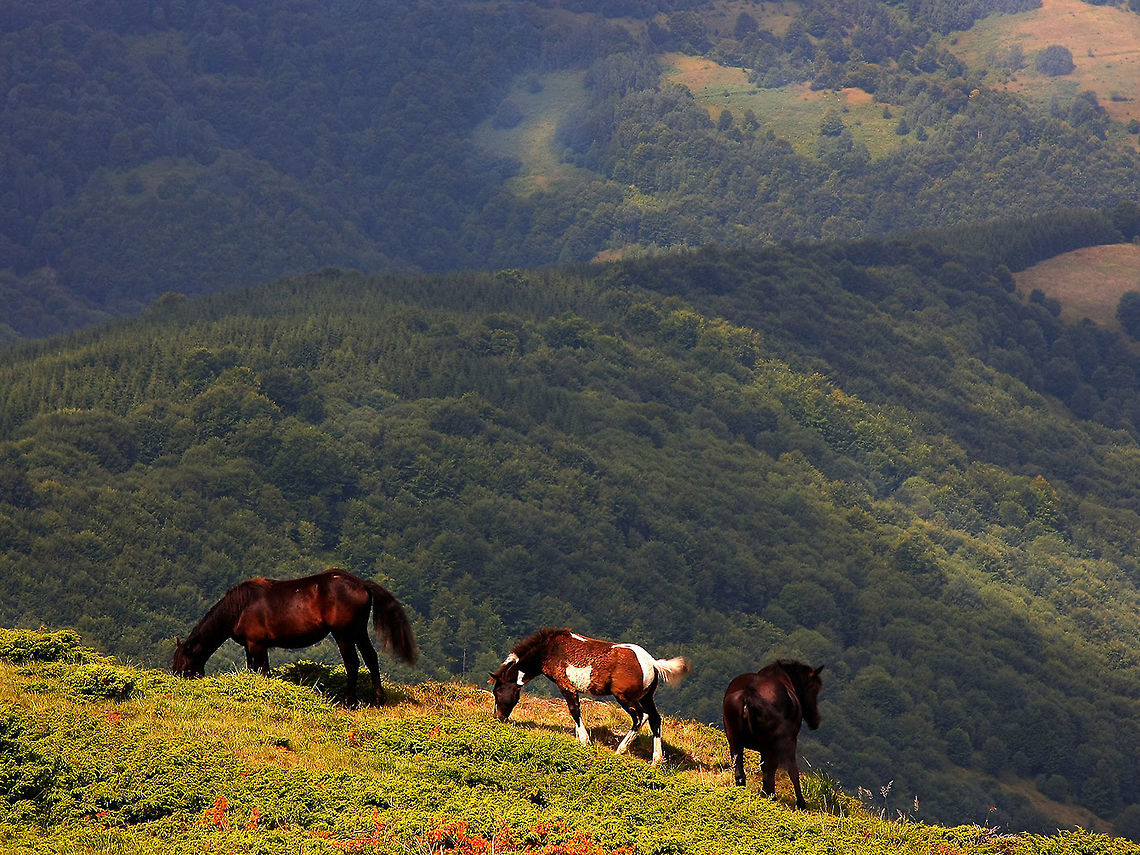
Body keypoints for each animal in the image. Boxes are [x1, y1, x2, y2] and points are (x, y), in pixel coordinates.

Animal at [171, 568, 417, 705]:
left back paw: (349, 701)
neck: (240, 607)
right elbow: (253, 670)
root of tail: (361, 584)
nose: (175, 682)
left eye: (183, 667)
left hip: (344, 633)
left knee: (353, 663)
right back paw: (378, 699)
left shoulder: (258, 644)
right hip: (358, 631)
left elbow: (264, 671)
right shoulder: (249, 646)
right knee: (370, 658)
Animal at [489, 627, 689, 764]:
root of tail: (653, 664)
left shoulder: (566, 686)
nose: (498, 718)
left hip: (625, 697)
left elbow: (574, 710)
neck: (550, 649)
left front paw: (585, 741)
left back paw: (621, 749)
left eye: (497, 691)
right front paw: (579, 737)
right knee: (655, 719)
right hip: (646, 697)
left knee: (641, 716)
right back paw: (656, 760)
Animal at [722, 660, 824, 808]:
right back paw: (769, 796)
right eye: (814, 688)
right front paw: (801, 803)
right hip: (772, 743)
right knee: (769, 772)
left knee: (740, 770)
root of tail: (748, 694)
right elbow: (792, 770)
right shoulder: (789, 742)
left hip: (734, 740)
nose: (815, 721)